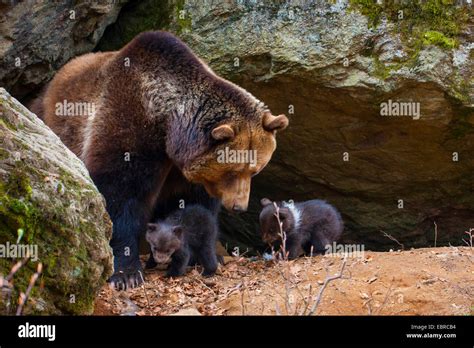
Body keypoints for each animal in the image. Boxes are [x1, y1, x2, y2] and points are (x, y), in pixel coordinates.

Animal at [31, 31, 288, 290]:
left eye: (254, 170)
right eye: (233, 171)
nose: (239, 206)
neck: (167, 126)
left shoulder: (185, 173)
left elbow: (190, 209)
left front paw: (200, 254)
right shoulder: (128, 125)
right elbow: (119, 196)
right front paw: (127, 273)